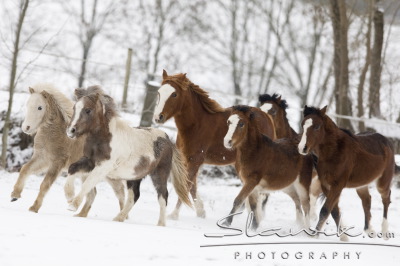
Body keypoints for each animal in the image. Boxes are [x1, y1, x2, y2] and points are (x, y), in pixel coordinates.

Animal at [10, 84, 125, 217]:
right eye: (27, 104)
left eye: (40, 107)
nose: (26, 128)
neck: (56, 134)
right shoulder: (42, 159)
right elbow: (25, 169)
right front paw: (14, 195)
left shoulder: (57, 162)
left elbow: (45, 184)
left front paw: (34, 208)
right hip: (87, 174)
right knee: (92, 193)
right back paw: (79, 215)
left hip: (110, 176)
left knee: (121, 193)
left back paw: (122, 216)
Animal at [65, 86, 191, 225]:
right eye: (74, 108)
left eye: (88, 110)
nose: (71, 131)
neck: (104, 139)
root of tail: (168, 139)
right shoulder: (90, 162)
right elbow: (72, 168)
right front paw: (69, 196)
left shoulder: (103, 166)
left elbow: (88, 182)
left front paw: (73, 205)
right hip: (134, 177)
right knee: (134, 196)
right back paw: (119, 218)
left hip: (159, 174)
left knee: (163, 196)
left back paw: (160, 224)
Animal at [152, 70, 276, 218]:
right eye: (159, 92)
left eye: (174, 94)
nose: (158, 117)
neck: (196, 124)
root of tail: (266, 116)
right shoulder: (187, 159)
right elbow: (192, 186)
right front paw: (201, 212)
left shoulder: (195, 160)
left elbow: (186, 184)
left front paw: (174, 215)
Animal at [298, 105, 396, 240]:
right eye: (303, 125)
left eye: (317, 126)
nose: (302, 148)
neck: (334, 152)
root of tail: (386, 141)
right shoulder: (326, 185)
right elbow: (334, 211)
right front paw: (344, 237)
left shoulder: (337, 185)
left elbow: (325, 210)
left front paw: (315, 235)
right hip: (361, 184)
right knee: (367, 201)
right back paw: (369, 230)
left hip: (383, 181)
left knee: (386, 199)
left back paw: (385, 232)